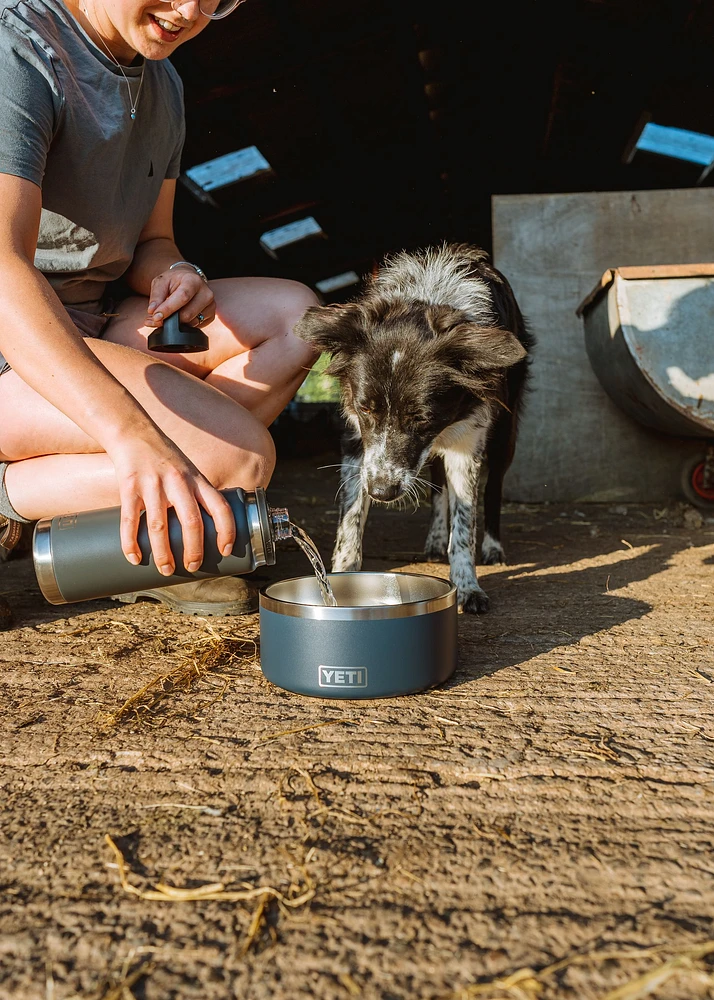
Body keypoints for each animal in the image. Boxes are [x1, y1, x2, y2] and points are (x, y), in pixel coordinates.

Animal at [292, 246, 532, 612]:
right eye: (366, 408)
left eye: (422, 418)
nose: (382, 493)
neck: (427, 295)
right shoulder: (356, 441)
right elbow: (350, 522)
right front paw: (343, 577)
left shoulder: (468, 441)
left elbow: (464, 526)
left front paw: (468, 587)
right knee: (437, 486)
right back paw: (435, 538)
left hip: (504, 432)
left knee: (492, 489)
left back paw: (492, 547)